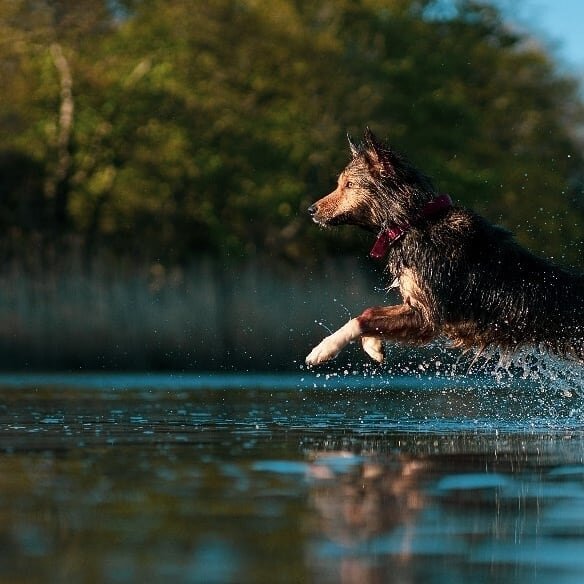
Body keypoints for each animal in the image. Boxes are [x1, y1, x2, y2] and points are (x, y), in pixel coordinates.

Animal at [304, 131, 584, 368]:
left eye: (349, 185)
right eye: (341, 183)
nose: (310, 210)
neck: (415, 220)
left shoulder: (428, 316)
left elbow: (363, 318)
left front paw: (324, 349)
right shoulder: (415, 303)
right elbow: (369, 311)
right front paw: (373, 345)